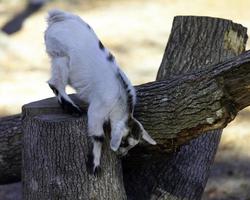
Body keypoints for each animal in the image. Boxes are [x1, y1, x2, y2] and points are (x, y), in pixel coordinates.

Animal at [44, 9, 155, 175]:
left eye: (131, 145)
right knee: (55, 82)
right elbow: (98, 136)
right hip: (60, 54)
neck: (120, 99)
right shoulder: (99, 108)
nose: (121, 155)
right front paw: (95, 163)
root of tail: (60, 17)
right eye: (123, 142)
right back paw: (72, 108)